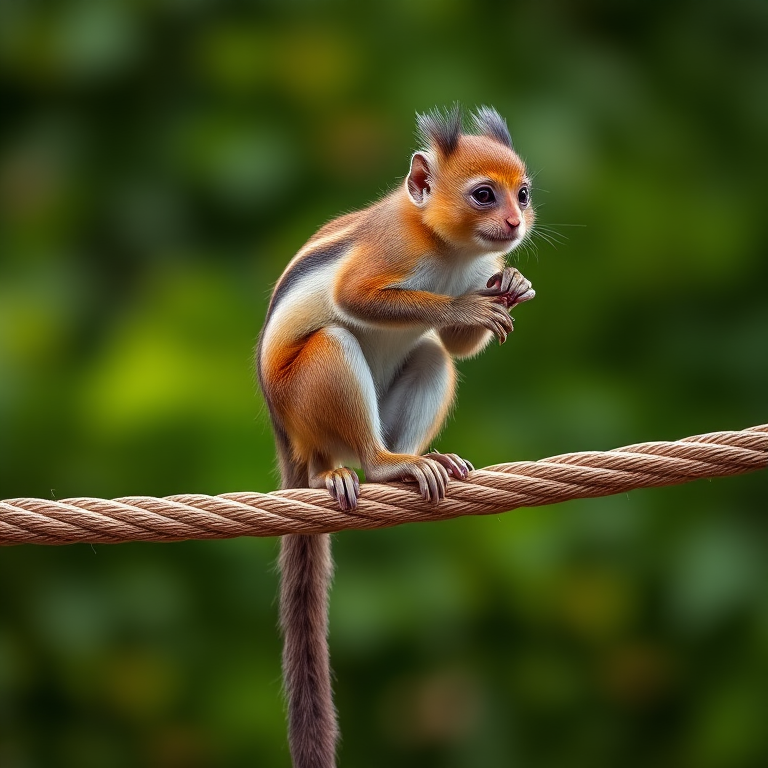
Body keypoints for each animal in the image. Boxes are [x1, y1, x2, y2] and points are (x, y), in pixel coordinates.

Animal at [257, 105, 535, 768]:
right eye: (483, 194)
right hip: (317, 386)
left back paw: (422, 465)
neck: (451, 248)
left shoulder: (479, 269)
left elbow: (457, 343)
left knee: (435, 356)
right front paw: (465, 309)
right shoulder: (386, 251)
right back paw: (377, 467)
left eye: (523, 192)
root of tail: (289, 440)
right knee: (341, 362)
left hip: (408, 387)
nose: (515, 224)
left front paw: (512, 286)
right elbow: (357, 296)